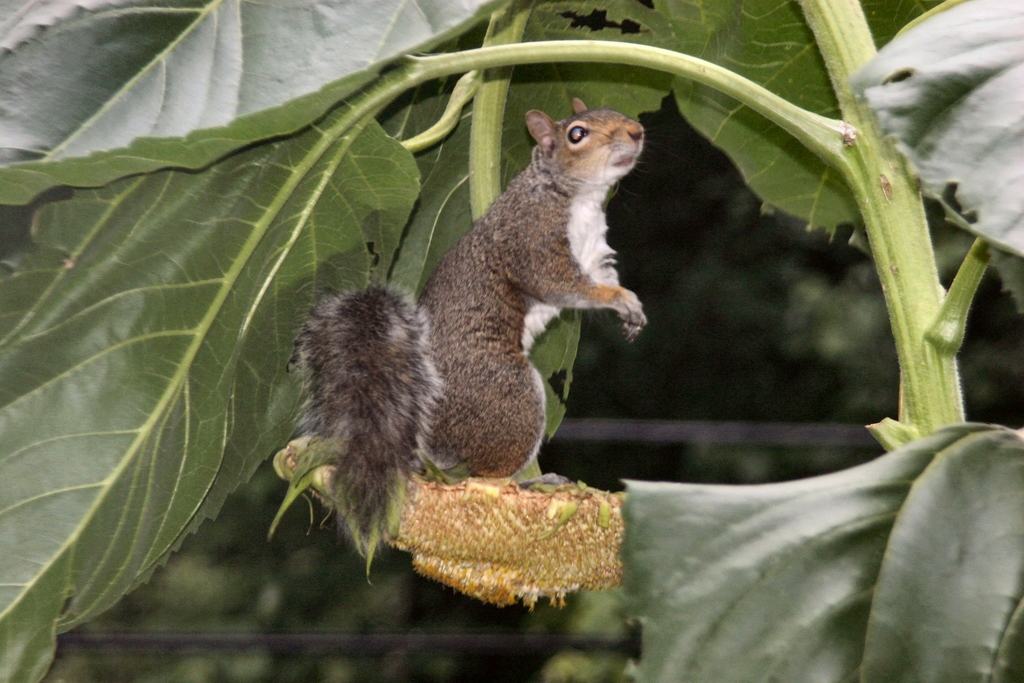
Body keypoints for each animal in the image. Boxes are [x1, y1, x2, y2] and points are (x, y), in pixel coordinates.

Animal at [294, 97, 647, 557]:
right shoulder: (533, 242)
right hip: (509, 395)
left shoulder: (595, 255)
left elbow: (604, 279)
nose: (637, 132)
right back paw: (531, 481)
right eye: (577, 135)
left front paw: (632, 307)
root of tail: (429, 446)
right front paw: (618, 301)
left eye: (617, 112)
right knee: (487, 472)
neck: (572, 194)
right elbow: (563, 285)